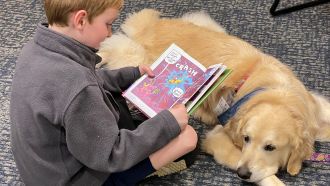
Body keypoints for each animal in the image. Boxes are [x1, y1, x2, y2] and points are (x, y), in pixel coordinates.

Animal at [97, 8, 330, 185]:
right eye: (246, 138)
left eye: (270, 147)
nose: (242, 174)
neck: (276, 93)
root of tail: (150, 27)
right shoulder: (218, 138)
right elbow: (270, 178)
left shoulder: (315, 107)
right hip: (133, 58)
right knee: (109, 49)